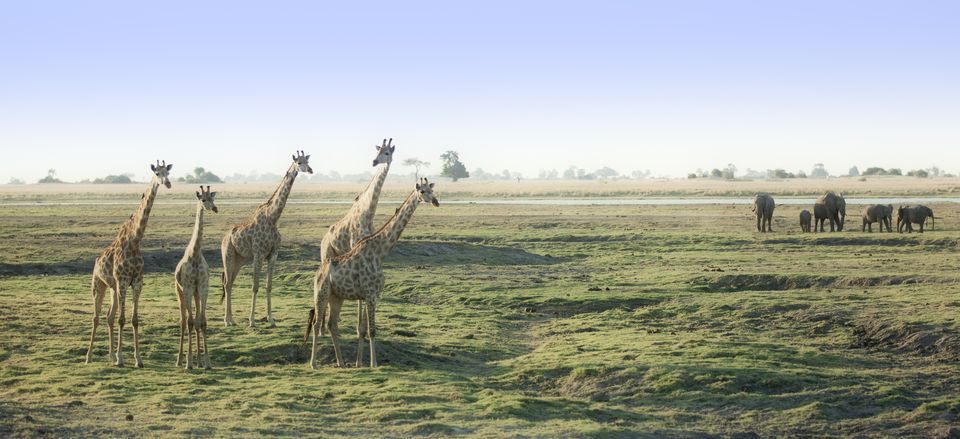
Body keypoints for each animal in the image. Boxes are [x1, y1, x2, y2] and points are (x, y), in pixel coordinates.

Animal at [85, 162, 173, 368]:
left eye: (168, 172)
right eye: (157, 173)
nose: (167, 183)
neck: (135, 241)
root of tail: (96, 261)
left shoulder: (137, 282)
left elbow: (133, 320)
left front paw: (138, 359)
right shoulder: (124, 281)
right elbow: (122, 319)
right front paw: (121, 359)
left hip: (112, 288)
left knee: (108, 316)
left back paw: (109, 356)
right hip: (98, 285)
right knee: (96, 317)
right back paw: (89, 356)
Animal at [220, 151, 312, 326]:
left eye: (308, 161)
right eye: (299, 162)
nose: (310, 170)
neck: (273, 218)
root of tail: (224, 238)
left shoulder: (273, 254)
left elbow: (269, 286)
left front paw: (271, 319)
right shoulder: (258, 254)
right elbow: (255, 286)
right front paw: (252, 321)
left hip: (239, 259)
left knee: (230, 283)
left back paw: (231, 319)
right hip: (228, 255)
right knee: (227, 283)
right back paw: (227, 321)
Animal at [310, 177, 440, 370]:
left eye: (432, 190)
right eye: (422, 191)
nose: (436, 201)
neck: (380, 253)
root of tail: (318, 272)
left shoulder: (373, 295)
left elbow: (365, 329)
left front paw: (362, 362)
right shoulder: (370, 294)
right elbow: (372, 330)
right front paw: (374, 363)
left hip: (336, 297)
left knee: (332, 324)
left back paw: (342, 363)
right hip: (322, 293)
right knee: (316, 323)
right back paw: (314, 364)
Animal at [320, 138, 396, 368]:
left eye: (387, 152)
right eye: (379, 151)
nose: (375, 161)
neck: (368, 212)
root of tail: (323, 239)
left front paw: (360, 340)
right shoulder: (356, 247)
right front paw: (360, 336)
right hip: (327, 255)